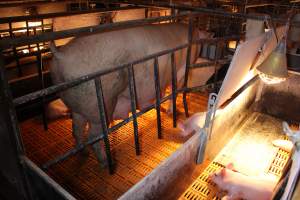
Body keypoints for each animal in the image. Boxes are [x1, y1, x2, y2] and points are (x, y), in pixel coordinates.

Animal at [49, 22, 209, 166]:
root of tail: (60, 56)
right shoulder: (180, 72)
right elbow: (174, 92)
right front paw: (170, 112)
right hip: (99, 106)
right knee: (93, 136)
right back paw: (107, 163)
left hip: (77, 106)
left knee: (76, 129)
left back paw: (83, 153)